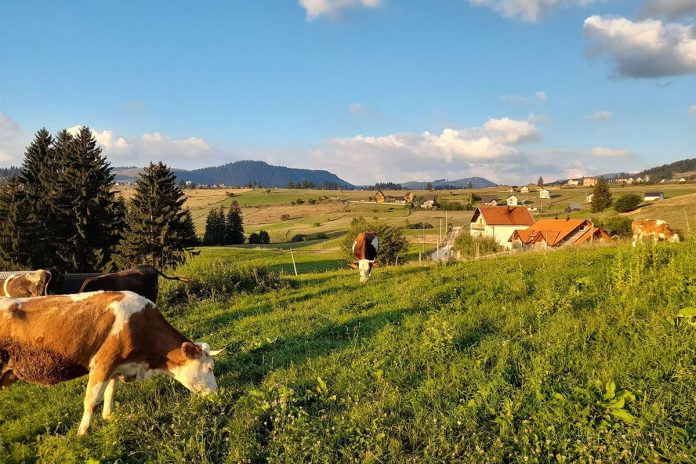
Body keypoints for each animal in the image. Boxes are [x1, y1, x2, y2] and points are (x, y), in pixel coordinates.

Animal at [0, 290, 222, 436]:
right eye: (210, 368)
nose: (218, 394)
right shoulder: (103, 363)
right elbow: (91, 400)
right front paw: (83, 432)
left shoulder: (117, 367)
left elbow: (110, 393)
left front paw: (109, 417)